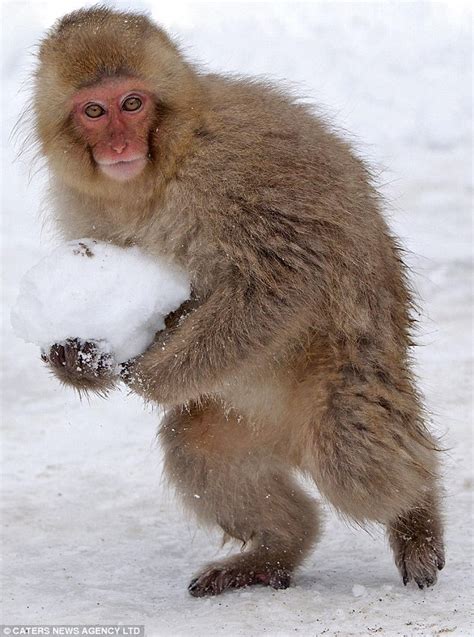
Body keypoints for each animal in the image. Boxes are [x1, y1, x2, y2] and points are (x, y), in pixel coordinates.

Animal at [33, 6, 444, 596]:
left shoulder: (235, 164)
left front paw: (146, 375)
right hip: (239, 417)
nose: (118, 146)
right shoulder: (88, 209)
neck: (161, 171)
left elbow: (283, 279)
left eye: (132, 104)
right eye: (94, 110)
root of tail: (291, 440)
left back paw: (417, 515)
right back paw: (277, 549)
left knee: (350, 456)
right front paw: (78, 360)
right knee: (196, 447)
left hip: (350, 376)